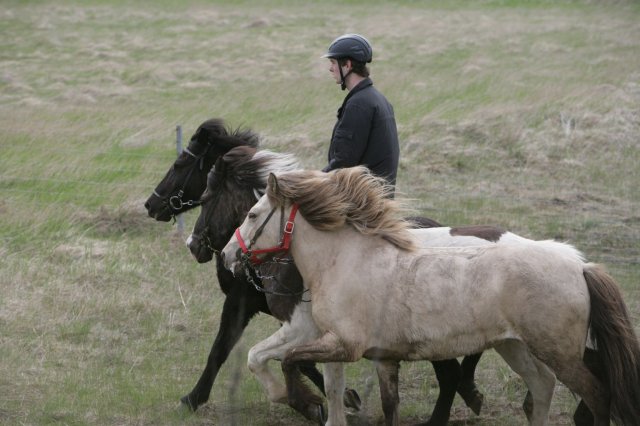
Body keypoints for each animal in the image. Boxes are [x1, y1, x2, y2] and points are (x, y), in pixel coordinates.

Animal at [145, 118, 482, 424]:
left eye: (179, 164)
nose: (193, 245)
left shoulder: (260, 310)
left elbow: (225, 349)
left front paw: (192, 399)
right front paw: (334, 401)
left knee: (450, 373)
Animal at [221, 166, 640, 426]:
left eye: (254, 214)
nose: (227, 255)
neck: (346, 261)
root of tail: (580, 266)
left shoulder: (342, 345)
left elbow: (292, 361)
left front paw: (299, 399)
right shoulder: (382, 357)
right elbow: (387, 406)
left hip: (558, 351)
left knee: (596, 394)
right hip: (515, 346)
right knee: (540, 388)